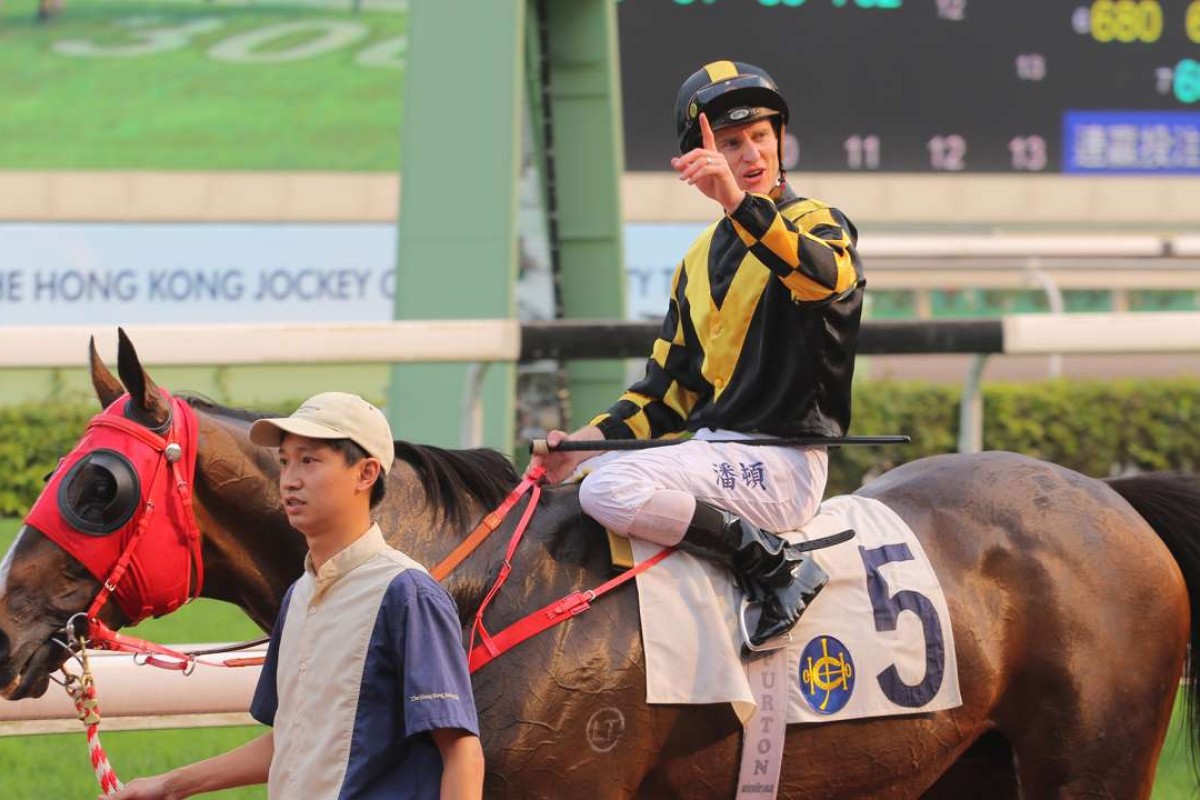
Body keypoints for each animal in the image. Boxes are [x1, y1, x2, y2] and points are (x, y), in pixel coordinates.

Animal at [2, 328, 1200, 796]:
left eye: (96, 485)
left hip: (1090, 762)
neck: (468, 589)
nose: (7, 621)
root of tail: (1111, 498)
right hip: (967, 764)